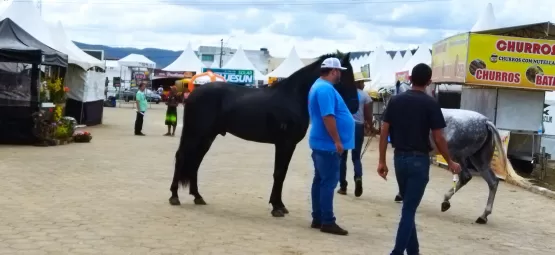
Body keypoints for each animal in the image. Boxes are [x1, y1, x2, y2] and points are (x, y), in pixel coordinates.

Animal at [170, 52, 360, 216]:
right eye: (345, 75)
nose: (355, 106)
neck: (293, 97)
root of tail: (193, 93)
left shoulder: (288, 145)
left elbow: (282, 173)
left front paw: (280, 205)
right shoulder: (284, 143)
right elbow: (279, 173)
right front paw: (276, 207)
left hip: (207, 136)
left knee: (195, 161)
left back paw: (197, 196)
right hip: (195, 133)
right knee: (181, 157)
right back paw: (174, 196)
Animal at [388, 83, 528, 223]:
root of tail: (485, 122)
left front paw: (400, 195)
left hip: (457, 156)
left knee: (466, 177)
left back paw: (446, 201)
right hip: (479, 161)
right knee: (493, 182)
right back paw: (483, 216)